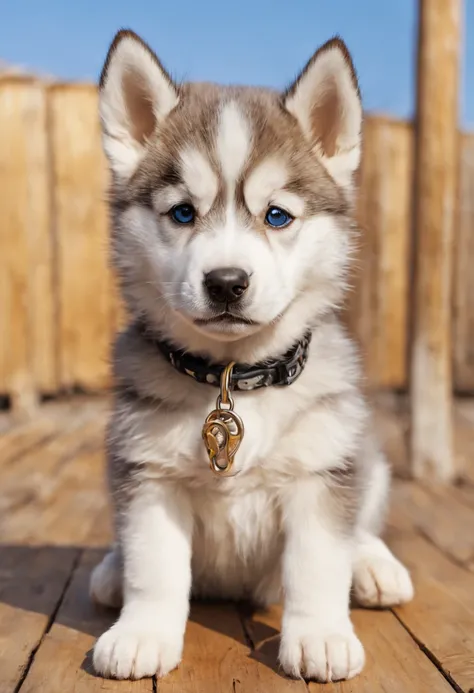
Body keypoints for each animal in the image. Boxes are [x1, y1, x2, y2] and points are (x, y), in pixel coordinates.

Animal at [90, 31, 412, 680]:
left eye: (277, 215)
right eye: (182, 212)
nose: (226, 282)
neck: (234, 378)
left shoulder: (320, 474)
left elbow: (319, 565)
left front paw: (319, 637)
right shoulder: (147, 475)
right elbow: (154, 570)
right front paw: (142, 633)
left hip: (363, 453)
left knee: (361, 523)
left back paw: (374, 566)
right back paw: (111, 570)